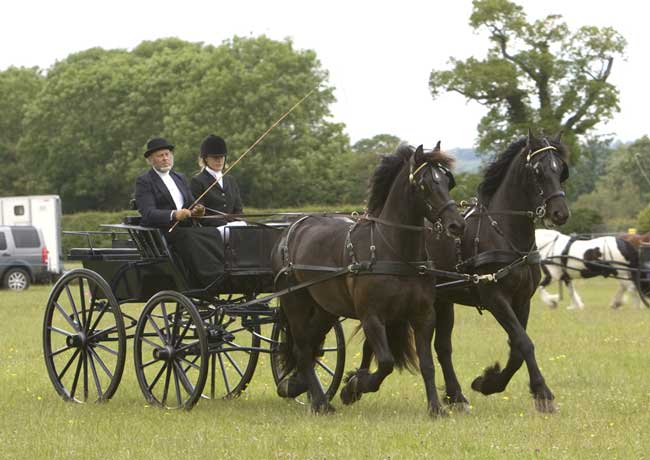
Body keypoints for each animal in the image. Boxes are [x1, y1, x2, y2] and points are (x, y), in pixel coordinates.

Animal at [270, 142, 464, 416]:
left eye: (448, 182)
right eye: (425, 184)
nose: (457, 225)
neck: (394, 252)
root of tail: (291, 228)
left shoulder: (423, 315)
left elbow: (427, 364)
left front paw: (436, 408)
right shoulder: (371, 316)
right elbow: (385, 362)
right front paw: (354, 385)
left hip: (325, 309)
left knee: (309, 344)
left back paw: (297, 387)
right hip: (295, 302)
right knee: (303, 349)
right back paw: (320, 402)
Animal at [350, 130, 568, 414]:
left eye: (561, 169)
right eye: (538, 171)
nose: (560, 212)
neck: (503, 233)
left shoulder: (522, 300)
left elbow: (517, 347)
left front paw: (489, 382)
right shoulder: (494, 297)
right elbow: (523, 342)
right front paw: (542, 393)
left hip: (441, 301)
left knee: (441, 347)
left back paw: (456, 395)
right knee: (378, 341)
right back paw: (356, 385)